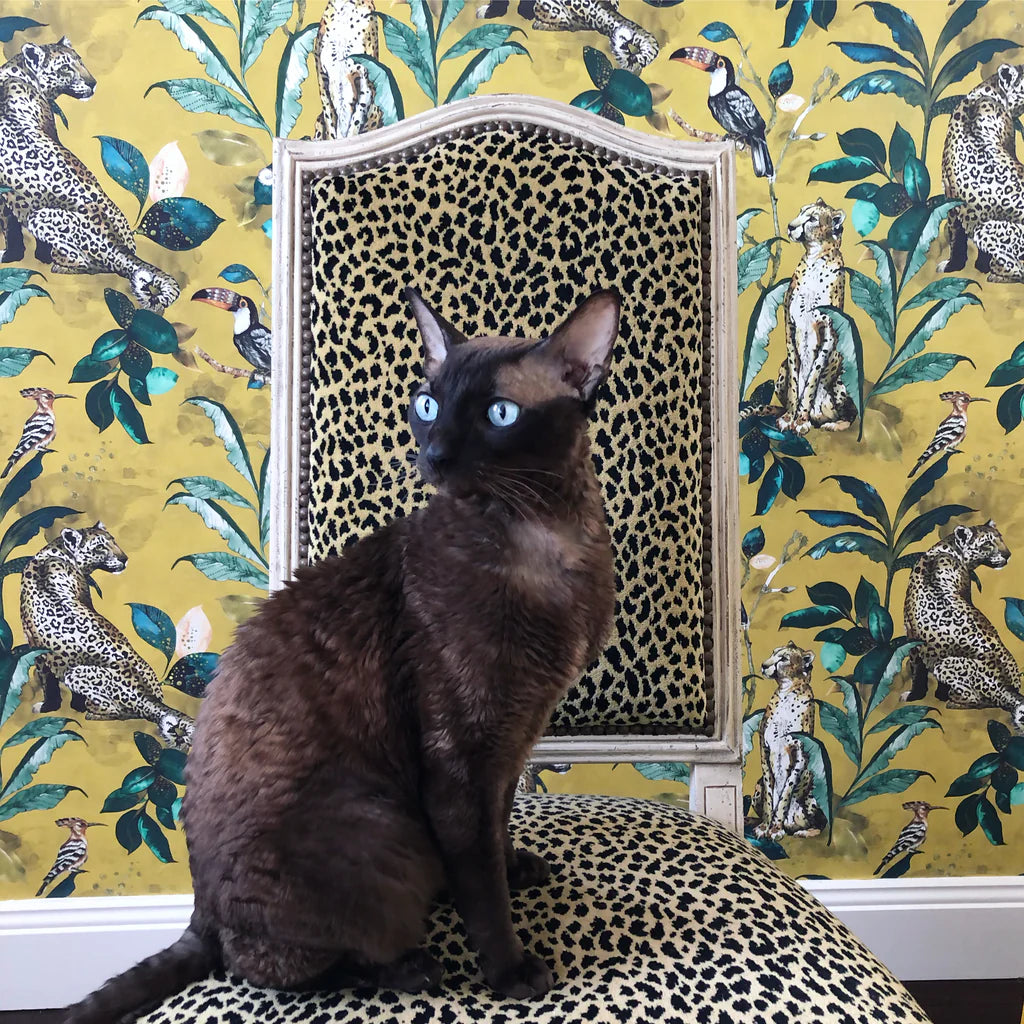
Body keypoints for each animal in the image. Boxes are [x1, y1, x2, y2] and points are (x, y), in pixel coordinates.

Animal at [0, 37, 180, 310]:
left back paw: (59, 264)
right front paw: (15, 255)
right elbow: (9, 224)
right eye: (65, 68)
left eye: (80, 61)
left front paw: (24, 255)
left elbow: (9, 225)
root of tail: (122, 249)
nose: (92, 83)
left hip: (40, 217)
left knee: (88, 264)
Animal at [20, 523, 194, 749]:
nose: (124, 558)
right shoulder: (38, 650)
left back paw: (92, 712)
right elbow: (48, 682)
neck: (55, 554)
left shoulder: (39, 650)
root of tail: (148, 696)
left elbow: (48, 683)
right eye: (100, 547)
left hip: (75, 674)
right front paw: (58, 705)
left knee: (120, 711)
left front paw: (54, 706)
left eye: (113, 541)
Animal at [750, 642, 826, 840]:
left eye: (784, 658)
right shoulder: (764, 751)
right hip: (757, 787)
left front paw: (776, 828)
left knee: (821, 824)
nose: (763, 665)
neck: (786, 694)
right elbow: (770, 796)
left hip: (811, 792)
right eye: (773, 653)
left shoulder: (800, 755)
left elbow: (785, 793)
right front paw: (765, 826)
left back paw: (803, 831)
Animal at [903, 520, 1024, 733]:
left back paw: (953, 700)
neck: (948, 550)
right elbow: (918, 673)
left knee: (978, 700)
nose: (1008, 554)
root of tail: (1008, 689)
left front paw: (920, 695)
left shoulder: (914, 641)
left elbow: (918, 673)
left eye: (1000, 538)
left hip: (945, 665)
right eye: (987, 544)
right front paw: (922, 694)